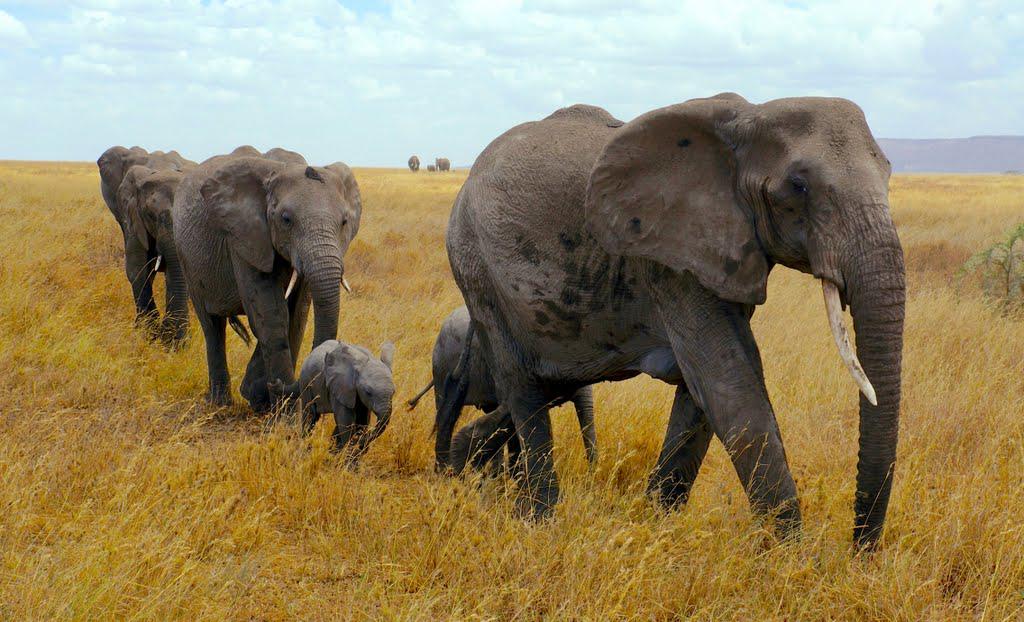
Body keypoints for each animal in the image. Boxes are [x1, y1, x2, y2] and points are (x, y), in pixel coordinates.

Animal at [173, 151, 362, 411]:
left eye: (344, 222)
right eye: (286, 219)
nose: (278, 385)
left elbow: (297, 315)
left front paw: (260, 397)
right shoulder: (244, 237)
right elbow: (271, 314)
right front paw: (283, 413)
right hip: (186, 258)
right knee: (212, 325)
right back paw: (220, 403)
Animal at [443, 94, 906, 549]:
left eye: (888, 173)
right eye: (798, 185)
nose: (860, 553)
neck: (750, 115)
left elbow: (704, 392)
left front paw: (654, 523)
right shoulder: (670, 261)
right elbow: (730, 385)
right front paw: (791, 557)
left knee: (535, 391)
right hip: (477, 271)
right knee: (524, 393)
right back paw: (540, 520)